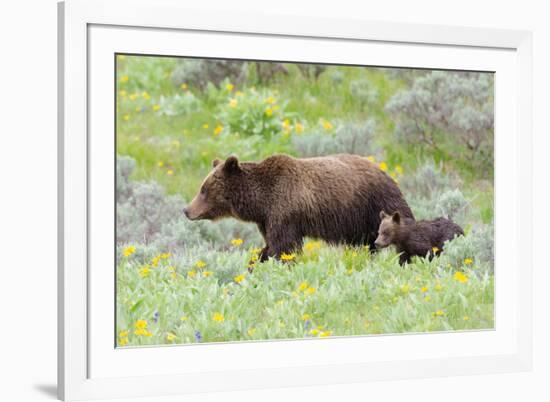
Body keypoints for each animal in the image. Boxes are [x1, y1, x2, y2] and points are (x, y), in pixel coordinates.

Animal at [184, 154, 414, 264]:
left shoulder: (284, 212)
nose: (186, 210)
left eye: (203, 189)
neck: (260, 202)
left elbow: (284, 247)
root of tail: (384, 169)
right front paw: (254, 264)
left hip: (376, 203)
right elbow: (270, 246)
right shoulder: (267, 219)